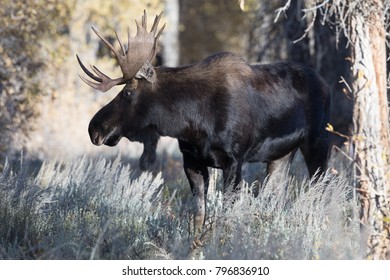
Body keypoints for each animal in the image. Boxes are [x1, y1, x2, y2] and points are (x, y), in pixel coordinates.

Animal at [76, 10, 330, 234]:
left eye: (128, 92)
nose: (94, 128)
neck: (192, 121)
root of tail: (325, 84)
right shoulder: (192, 160)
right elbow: (198, 214)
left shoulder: (234, 160)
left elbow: (226, 211)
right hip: (281, 155)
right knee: (276, 192)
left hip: (318, 142)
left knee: (321, 187)